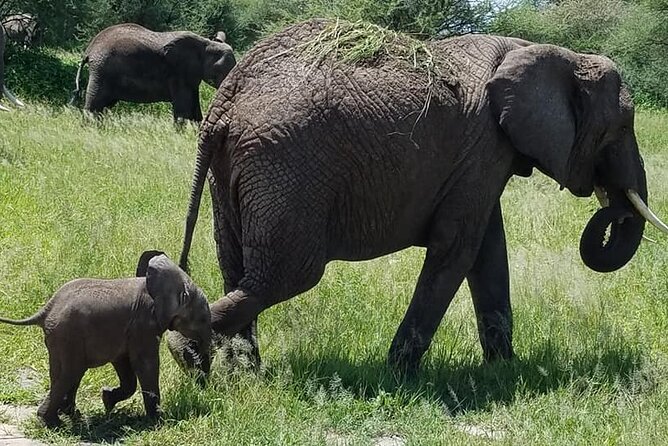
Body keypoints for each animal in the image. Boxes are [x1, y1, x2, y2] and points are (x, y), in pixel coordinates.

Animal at [0, 253, 211, 426]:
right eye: (202, 319)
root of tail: (46, 309)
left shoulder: (129, 329)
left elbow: (124, 363)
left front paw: (107, 400)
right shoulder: (143, 324)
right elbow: (146, 363)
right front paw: (158, 420)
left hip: (61, 338)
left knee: (66, 373)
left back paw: (70, 415)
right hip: (68, 336)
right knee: (71, 372)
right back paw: (52, 422)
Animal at [69, 23, 236, 122]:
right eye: (221, 71)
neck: (206, 44)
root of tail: (88, 50)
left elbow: (194, 107)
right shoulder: (178, 72)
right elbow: (183, 108)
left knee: (103, 106)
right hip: (102, 71)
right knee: (95, 104)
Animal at [170, 20, 668, 376]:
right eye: (622, 126)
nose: (612, 205)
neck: (543, 49)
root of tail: (227, 100)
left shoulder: (480, 156)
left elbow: (488, 251)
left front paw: (503, 372)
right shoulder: (484, 145)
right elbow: (458, 249)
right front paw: (399, 374)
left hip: (238, 167)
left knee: (237, 265)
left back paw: (242, 374)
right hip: (284, 164)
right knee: (283, 275)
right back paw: (186, 352)